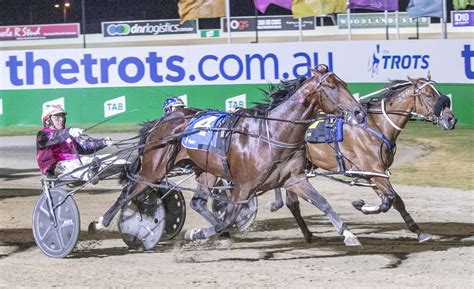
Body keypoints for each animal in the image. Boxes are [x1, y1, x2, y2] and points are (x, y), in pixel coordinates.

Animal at [89, 65, 366, 245]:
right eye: (332, 86)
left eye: (345, 84)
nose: (359, 112)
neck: (270, 134)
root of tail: (164, 120)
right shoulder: (243, 186)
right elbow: (229, 218)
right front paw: (197, 233)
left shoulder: (294, 178)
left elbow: (322, 202)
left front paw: (348, 234)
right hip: (154, 168)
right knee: (130, 191)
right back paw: (100, 222)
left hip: (206, 169)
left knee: (197, 202)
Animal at [270, 73, 456, 241]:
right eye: (428, 95)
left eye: (439, 93)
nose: (451, 119)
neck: (376, 125)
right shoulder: (373, 169)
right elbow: (389, 199)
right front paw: (360, 205)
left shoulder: (373, 174)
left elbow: (396, 200)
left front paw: (419, 231)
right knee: (291, 200)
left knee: (291, 201)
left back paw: (306, 232)